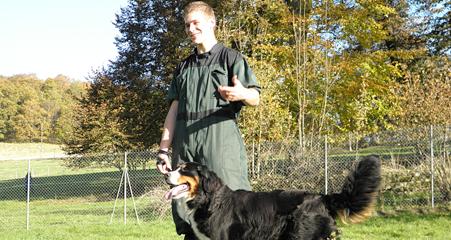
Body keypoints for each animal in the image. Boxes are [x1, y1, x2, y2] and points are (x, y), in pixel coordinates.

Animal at [164, 155, 380, 239]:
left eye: (184, 169)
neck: (208, 200)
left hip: (302, 234)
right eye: (175, 167)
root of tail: (322, 197)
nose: (165, 174)